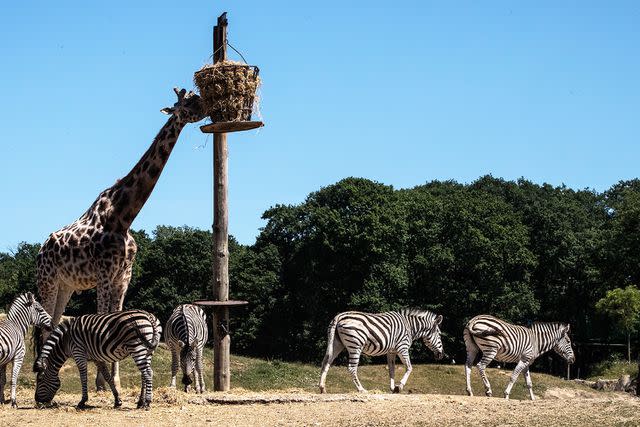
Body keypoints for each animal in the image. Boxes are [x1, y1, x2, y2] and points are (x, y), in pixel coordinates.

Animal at [33, 310, 161, 410]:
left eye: (40, 380)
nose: (37, 401)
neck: (65, 341)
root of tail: (148, 315)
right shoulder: (97, 359)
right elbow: (108, 377)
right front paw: (117, 401)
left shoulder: (78, 352)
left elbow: (83, 377)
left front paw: (82, 401)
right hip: (148, 351)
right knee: (145, 373)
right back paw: (140, 403)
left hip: (137, 347)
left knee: (147, 373)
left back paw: (147, 402)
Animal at [35, 87, 205, 388]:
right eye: (186, 104)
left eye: (194, 96)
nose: (207, 106)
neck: (123, 217)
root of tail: (41, 250)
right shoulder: (104, 274)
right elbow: (103, 318)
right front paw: (102, 380)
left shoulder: (123, 276)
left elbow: (117, 318)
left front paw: (113, 380)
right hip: (48, 280)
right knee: (44, 324)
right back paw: (40, 377)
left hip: (66, 285)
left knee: (52, 322)